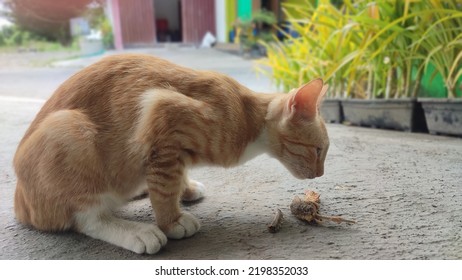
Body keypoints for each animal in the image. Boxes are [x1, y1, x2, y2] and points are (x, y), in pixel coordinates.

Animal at [11, 54, 328, 254]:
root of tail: (20, 203)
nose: (320, 174)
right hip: (69, 130)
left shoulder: (171, 149)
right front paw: (171, 221)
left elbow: (174, 176)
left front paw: (184, 189)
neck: (249, 119)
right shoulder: (162, 115)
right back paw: (136, 231)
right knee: (88, 218)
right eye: (318, 150)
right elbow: (164, 188)